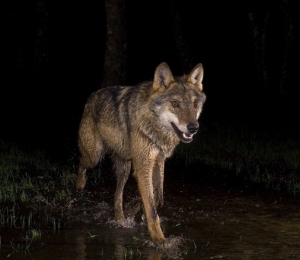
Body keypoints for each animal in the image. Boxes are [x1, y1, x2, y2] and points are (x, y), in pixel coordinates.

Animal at [75, 62, 206, 245]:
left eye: (195, 104)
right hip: (94, 156)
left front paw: (134, 209)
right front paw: (160, 240)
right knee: (81, 164)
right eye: (174, 103)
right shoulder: (144, 164)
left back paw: (121, 219)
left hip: (125, 168)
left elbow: (157, 199)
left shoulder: (158, 160)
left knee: (117, 198)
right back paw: (79, 184)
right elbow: (152, 209)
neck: (154, 125)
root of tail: (92, 95)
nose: (193, 128)